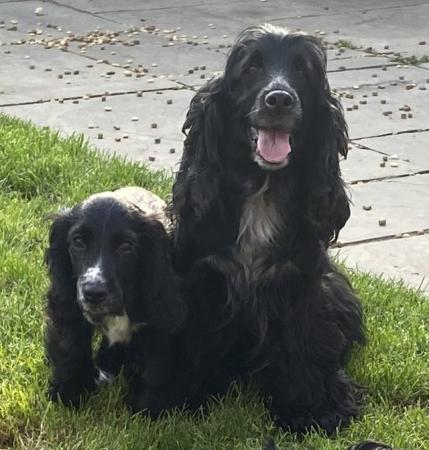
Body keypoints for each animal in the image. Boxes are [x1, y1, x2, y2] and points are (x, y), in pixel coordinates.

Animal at [45, 187, 186, 414]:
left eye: (126, 246)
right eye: (78, 241)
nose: (94, 293)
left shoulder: (160, 312)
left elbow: (156, 366)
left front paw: (147, 407)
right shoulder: (69, 305)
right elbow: (70, 347)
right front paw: (70, 392)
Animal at [169, 25, 362, 436]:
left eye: (304, 70)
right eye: (251, 67)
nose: (279, 100)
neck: (262, 189)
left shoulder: (300, 285)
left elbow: (304, 345)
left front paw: (312, 407)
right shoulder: (202, 279)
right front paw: (182, 393)